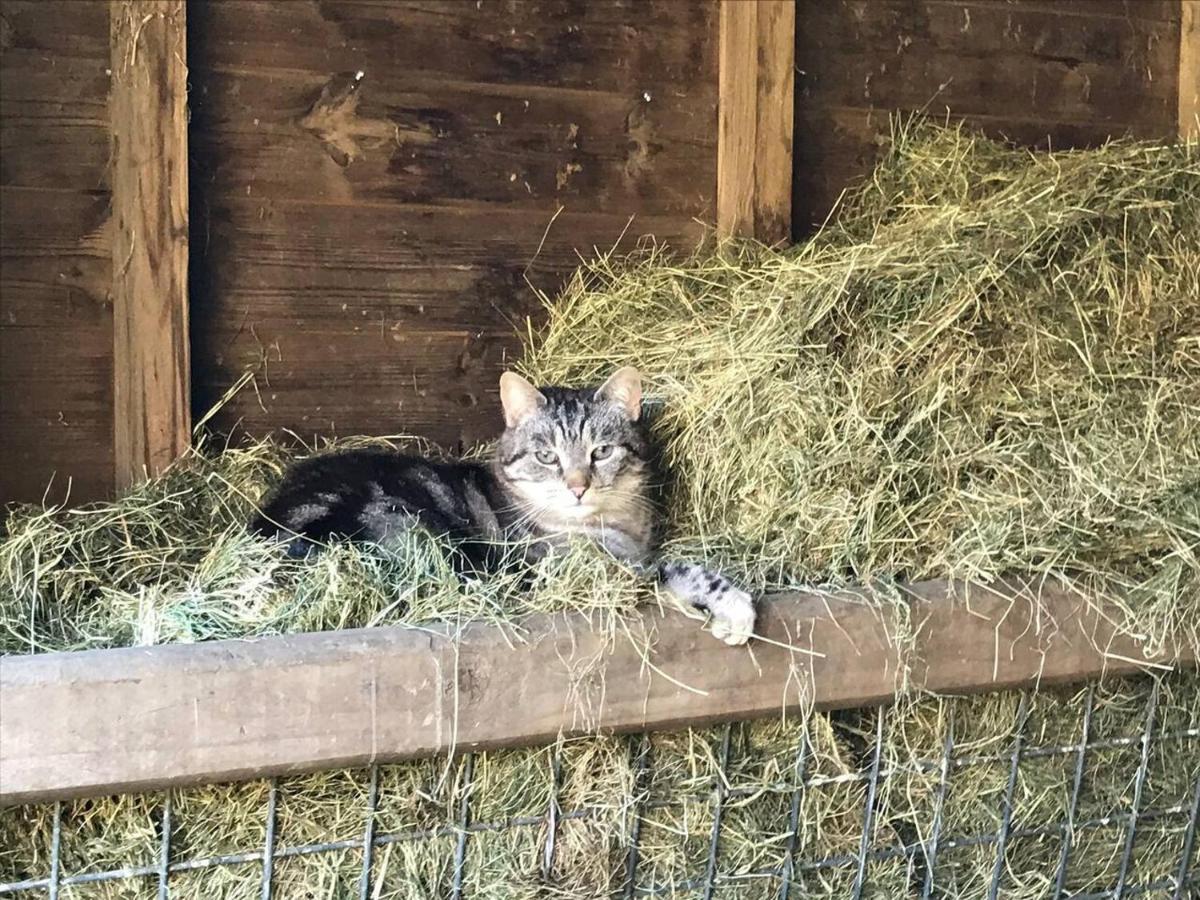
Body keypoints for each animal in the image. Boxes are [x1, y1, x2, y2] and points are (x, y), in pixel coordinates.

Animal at [250, 367, 758, 648]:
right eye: (546, 456)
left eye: (602, 452)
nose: (578, 487)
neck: (620, 527)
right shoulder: (574, 572)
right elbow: (673, 570)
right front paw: (735, 607)